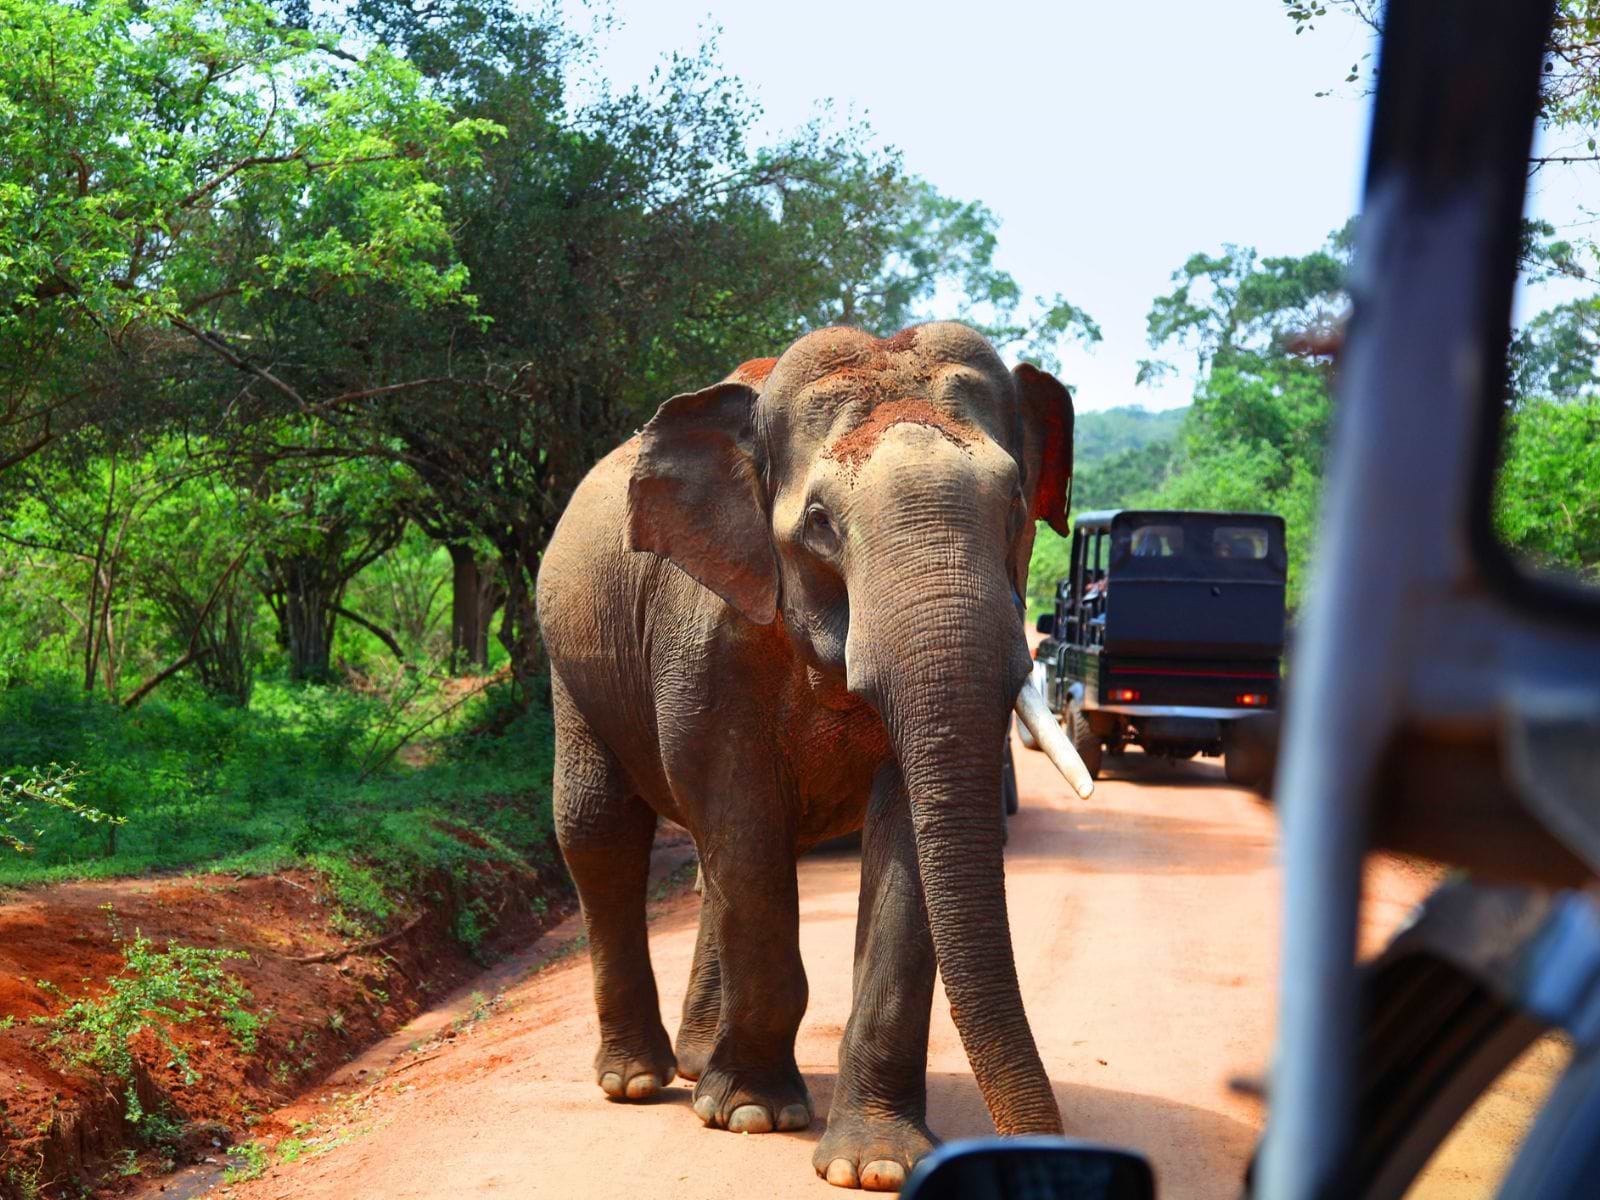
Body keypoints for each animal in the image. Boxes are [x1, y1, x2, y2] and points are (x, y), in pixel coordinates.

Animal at [535, 321, 1094, 1191]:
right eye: (823, 522)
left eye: (1012, 505)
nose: (1043, 1151)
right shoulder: (704, 632)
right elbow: (743, 820)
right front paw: (754, 1116)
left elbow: (900, 839)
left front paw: (875, 1165)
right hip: (572, 656)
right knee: (601, 829)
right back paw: (639, 1081)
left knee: (705, 861)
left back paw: (698, 1061)